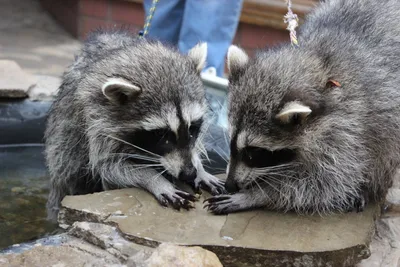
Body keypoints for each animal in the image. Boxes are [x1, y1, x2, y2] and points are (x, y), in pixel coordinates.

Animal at [45, 29, 225, 222]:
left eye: (192, 128)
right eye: (161, 135)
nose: (189, 173)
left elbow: (192, 149)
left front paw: (200, 169)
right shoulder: (95, 123)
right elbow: (109, 167)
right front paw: (155, 180)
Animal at [205, 0, 400, 215]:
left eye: (253, 151)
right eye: (230, 141)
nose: (230, 184)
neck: (318, 65)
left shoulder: (348, 127)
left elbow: (327, 182)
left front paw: (257, 195)